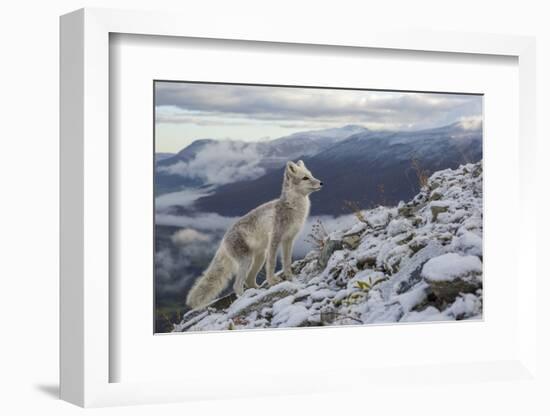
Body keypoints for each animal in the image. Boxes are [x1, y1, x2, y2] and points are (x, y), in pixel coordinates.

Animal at [188, 161, 324, 310]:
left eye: (311, 175)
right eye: (305, 178)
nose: (321, 183)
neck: (292, 207)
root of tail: (223, 240)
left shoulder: (289, 240)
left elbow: (287, 262)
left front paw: (290, 278)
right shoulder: (275, 239)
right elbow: (272, 263)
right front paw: (272, 281)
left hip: (259, 257)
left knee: (249, 281)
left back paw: (256, 291)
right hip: (247, 260)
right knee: (237, 285)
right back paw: (244, 299)